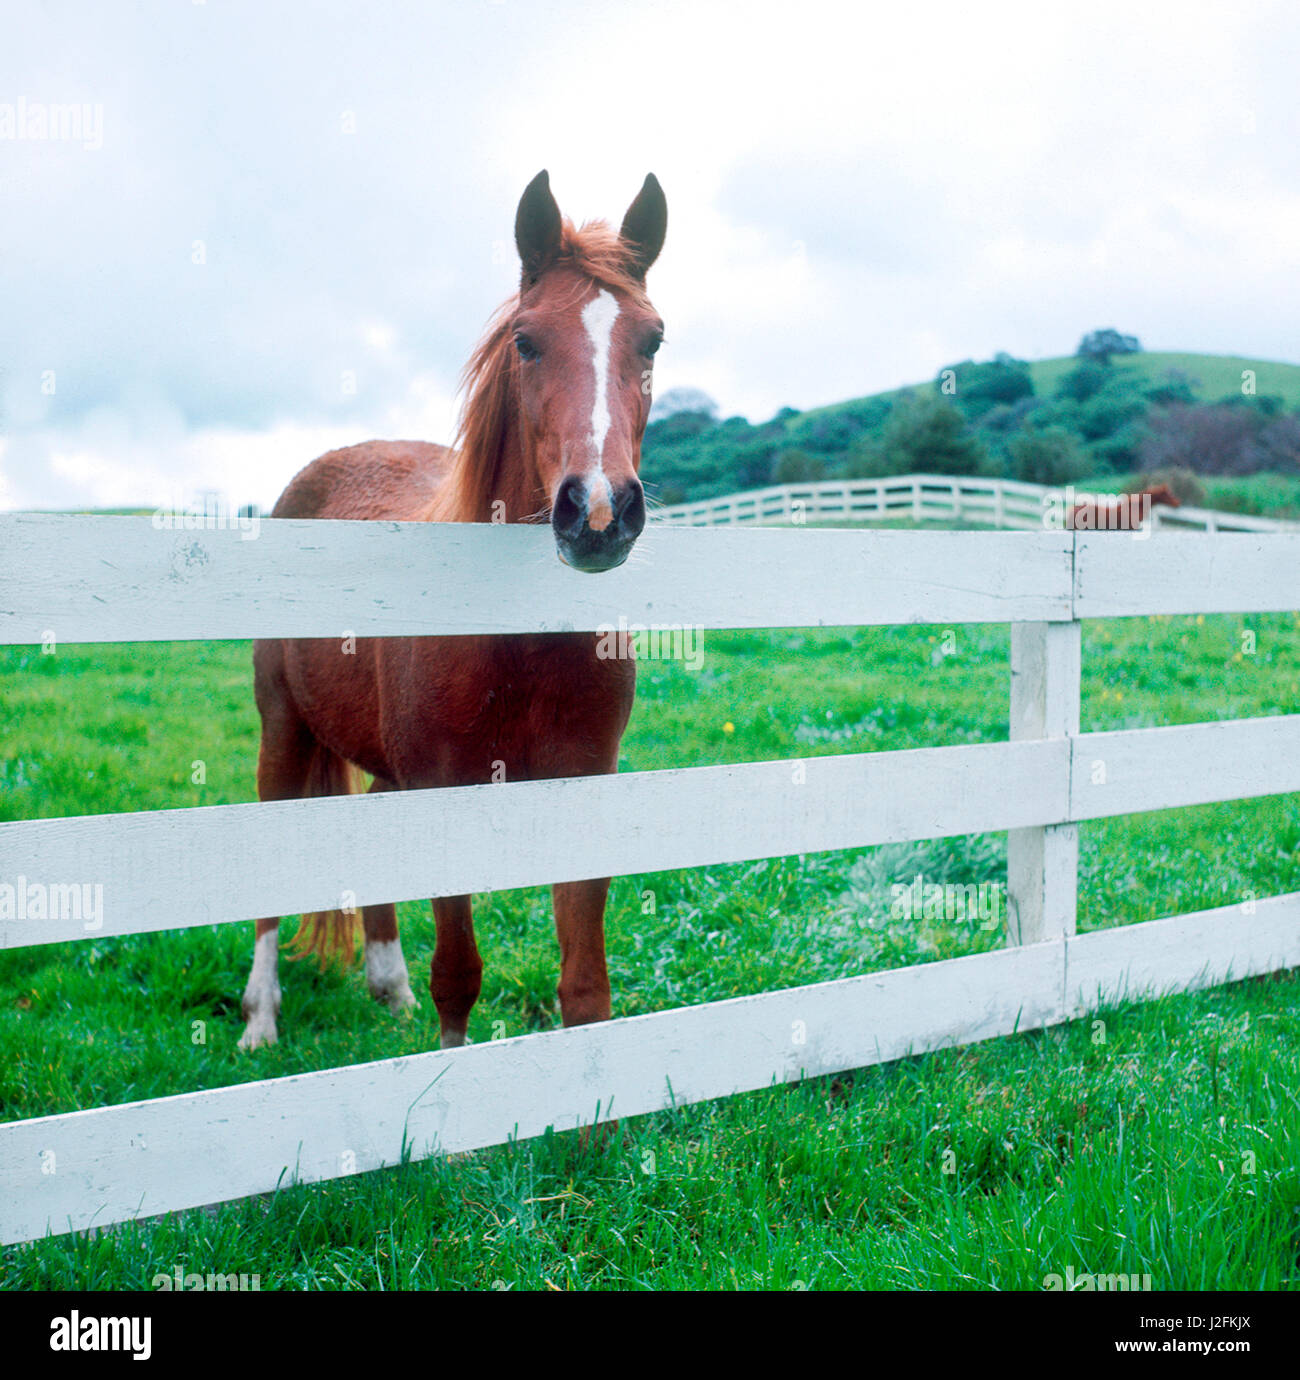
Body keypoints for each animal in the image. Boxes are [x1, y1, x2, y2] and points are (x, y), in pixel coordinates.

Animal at [238, 170, 668, 1050]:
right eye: (527, 342)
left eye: (652, 341)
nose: (598, 512)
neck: (519, 639)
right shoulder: (446, 787)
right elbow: (460, 978)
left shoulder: (586, 781)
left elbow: (585, 988)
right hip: (283, 728)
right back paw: (260, 1019)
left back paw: (387, 988)